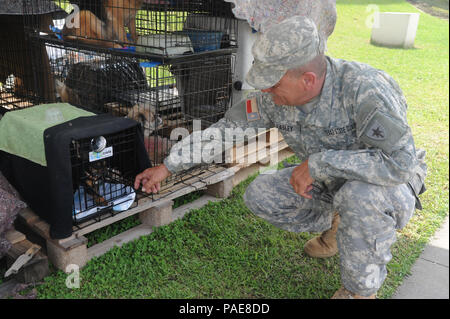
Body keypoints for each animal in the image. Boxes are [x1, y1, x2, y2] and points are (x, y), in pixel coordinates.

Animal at [0, 105, 151, 240]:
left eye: (106, 164)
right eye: (96, 166)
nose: (105, 172)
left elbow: (99, 188)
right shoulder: (89, 186)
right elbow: (96, 194)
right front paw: (103, 201)